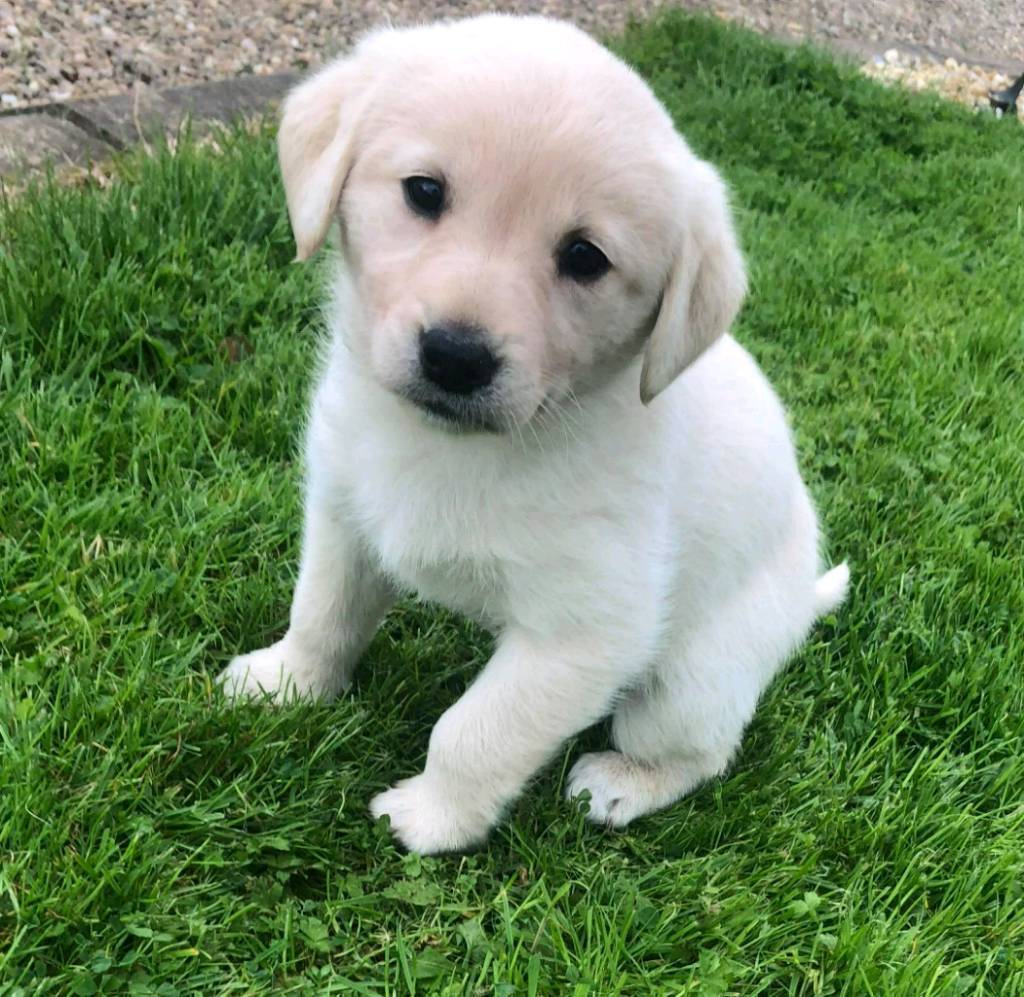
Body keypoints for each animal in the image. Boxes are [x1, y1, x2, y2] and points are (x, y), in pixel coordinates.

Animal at [222, 15, 847, 855]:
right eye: (424, 191)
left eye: (585, 256)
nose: (455, 356)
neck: (465, 449)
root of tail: (800, 599)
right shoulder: (345, 517)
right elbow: (321, 613)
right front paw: (286, 681)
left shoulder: (584, 630)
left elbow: (475, 730)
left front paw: (433, 817)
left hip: (691, 678)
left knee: (703, 750)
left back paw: (623, 782)